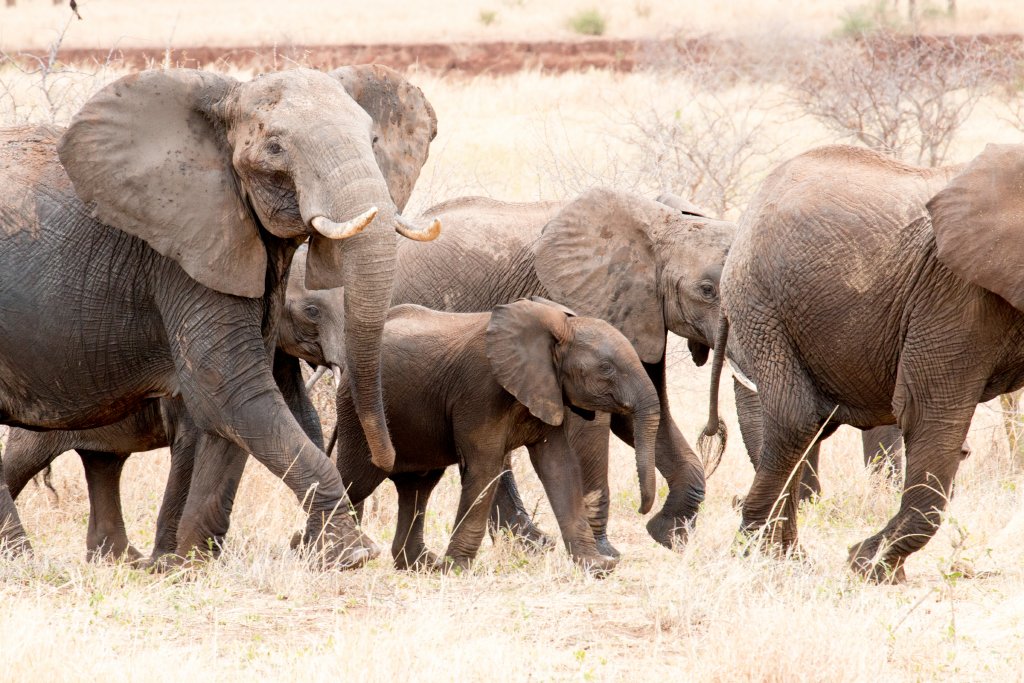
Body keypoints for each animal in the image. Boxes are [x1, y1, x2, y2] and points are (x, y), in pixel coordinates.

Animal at [0, 64, 439, 567]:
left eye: (373, 140)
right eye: (275, 147)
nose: (390, 458)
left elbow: (236, 410)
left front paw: (189, 564)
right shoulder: (178, 254)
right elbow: (229, 389)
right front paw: (352, 556)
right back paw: (22, 558)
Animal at [328, 298, 660, 574]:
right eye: (606, 369)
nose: (642, 509)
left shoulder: (546, 390)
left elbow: (559, 467)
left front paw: (598, 567)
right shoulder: (479, 391)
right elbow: (485, 468)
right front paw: (457, 570)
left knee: (418, 487)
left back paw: (420, 565)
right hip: (357, 416)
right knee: (357, 478)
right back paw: (335, 557)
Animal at [700, 143, 1024, 582]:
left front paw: (871, 565)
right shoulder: (956, 292)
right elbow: (931, 414)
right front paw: (868, 568)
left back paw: (787, 558)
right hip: (759, 301)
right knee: (794, 420)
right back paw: (760, 556)